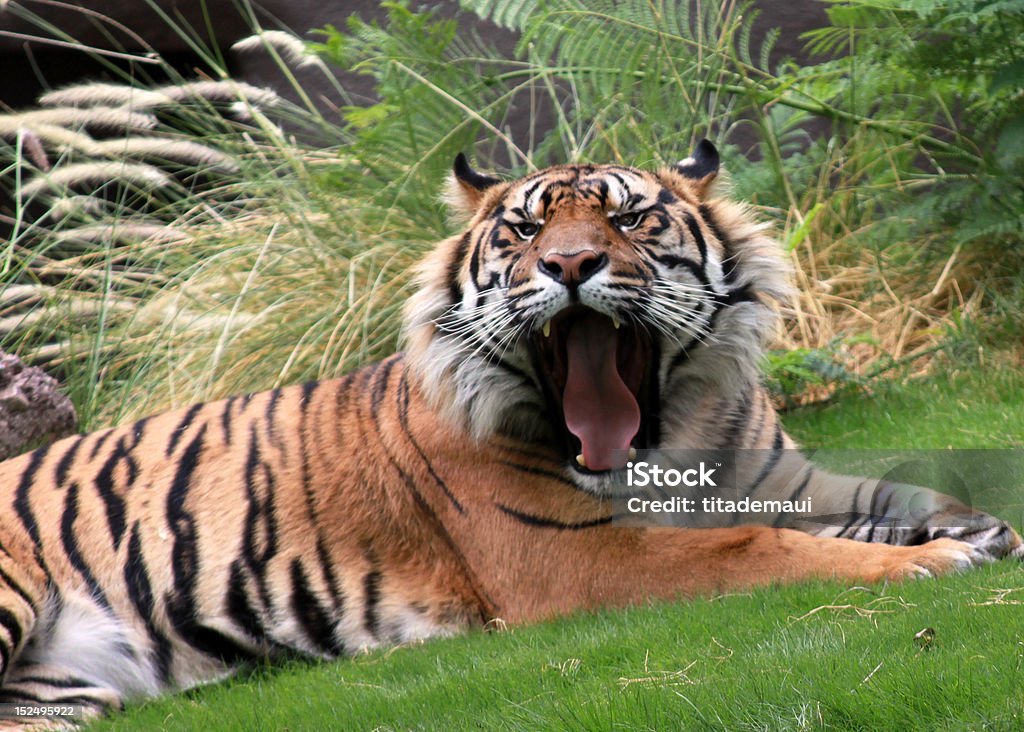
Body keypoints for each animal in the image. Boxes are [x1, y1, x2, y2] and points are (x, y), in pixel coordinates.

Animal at [0, 140, 1015, 724]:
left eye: (628, 216)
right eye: (525, 231)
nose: (570, 265)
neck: (669, 436)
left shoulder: (784, 480)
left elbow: (892, 494)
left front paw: (976, 529)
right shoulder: (577, 558)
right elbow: (760, 548)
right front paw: (932, 560)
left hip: (57, 694)